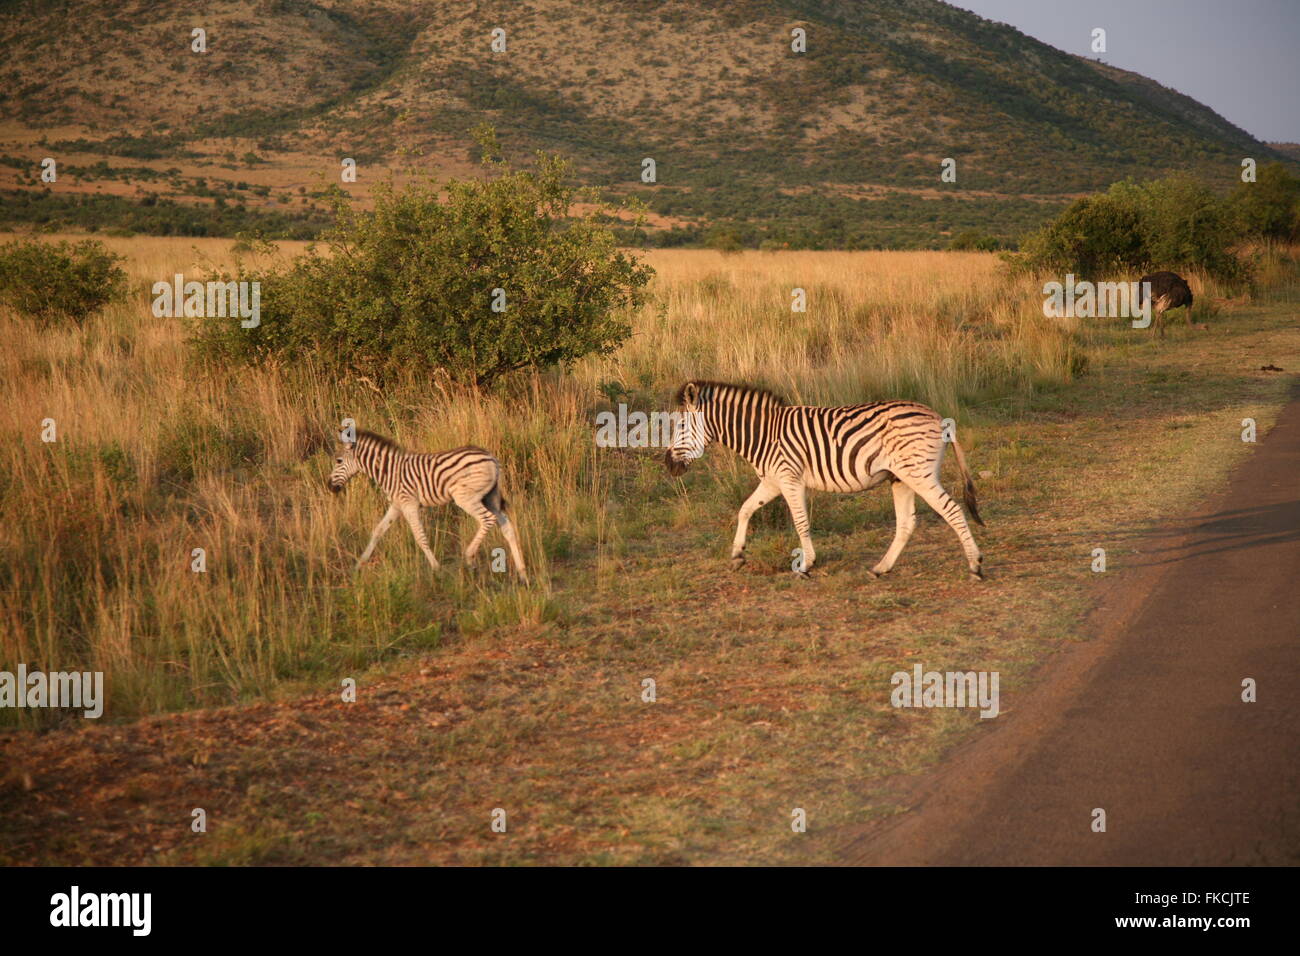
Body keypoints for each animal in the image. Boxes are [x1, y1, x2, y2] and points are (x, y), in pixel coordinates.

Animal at [325, 431, 527, 582]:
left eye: (338, 461)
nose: (329, 487)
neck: (389, 471)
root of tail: (491, 458)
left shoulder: (409, 504)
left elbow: (420, 537)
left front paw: (437, 569)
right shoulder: (396, 505)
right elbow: (377, 532)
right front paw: (358, 565)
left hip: (466, 498)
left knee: (488, 519)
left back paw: (470, 557)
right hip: (490, 497)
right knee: (507, 527)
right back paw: (522, 574)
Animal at [665, 382, 987, 580]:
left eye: (680, 425)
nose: (668, 464)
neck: (763, 435)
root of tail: (938, 417)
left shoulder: (789, 478)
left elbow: (800, 522)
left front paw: (806, 564)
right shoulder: (772, 481)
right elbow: (745, 509)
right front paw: (737, 554)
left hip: (918, 474)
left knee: (952, 510)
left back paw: (975, 565)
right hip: (901, 478)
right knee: (907, 523)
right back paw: (881, 568)